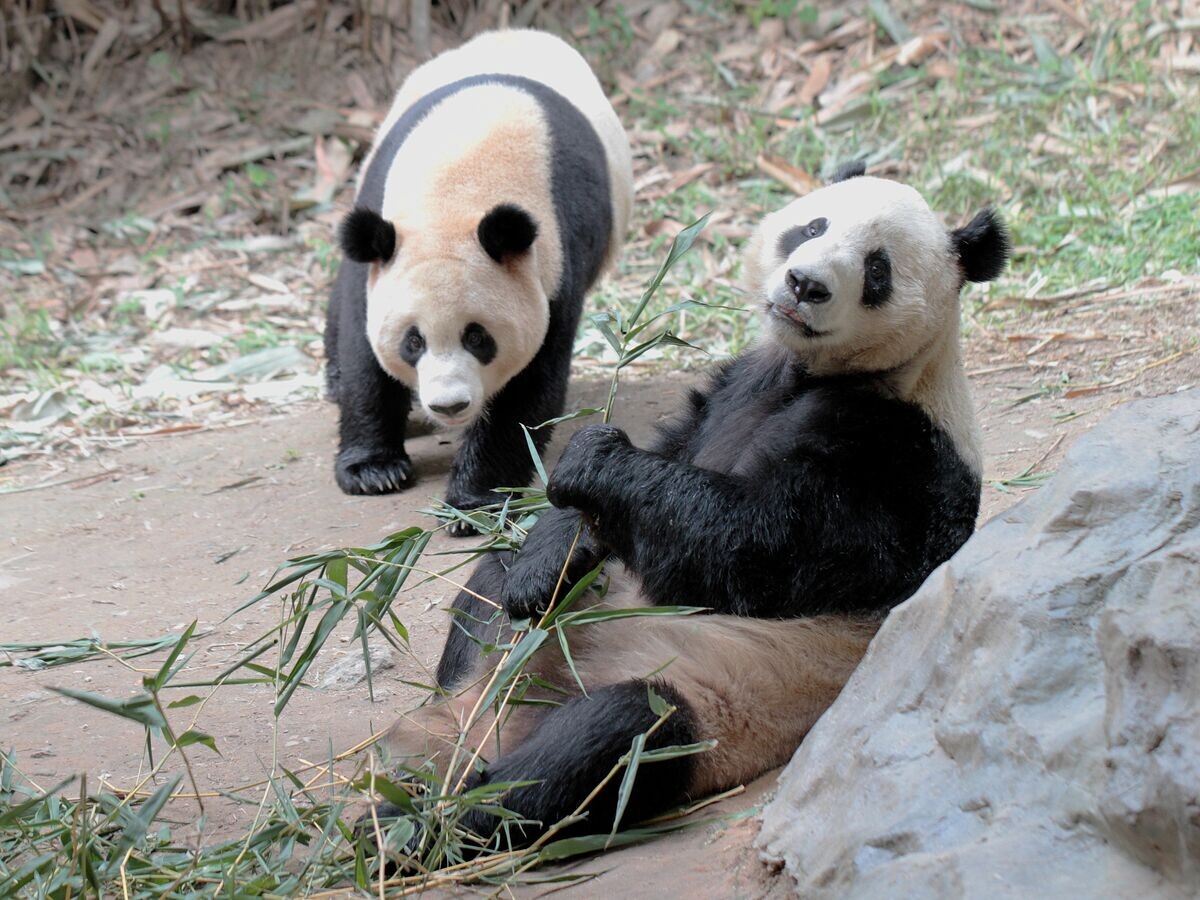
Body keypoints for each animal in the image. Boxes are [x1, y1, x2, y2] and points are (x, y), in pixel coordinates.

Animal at [376, 169, 1012, 854]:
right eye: (813, 227)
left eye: (877, 269)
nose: (805, 284)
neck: (812, 374)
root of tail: (486, 724)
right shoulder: (735, 387)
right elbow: (637, 486)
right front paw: (545, 563)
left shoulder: (902, 457)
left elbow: (763, 547)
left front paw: (595, 456)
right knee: (488, 592)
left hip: (709, 705)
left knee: (609, 743)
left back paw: (421, 824)